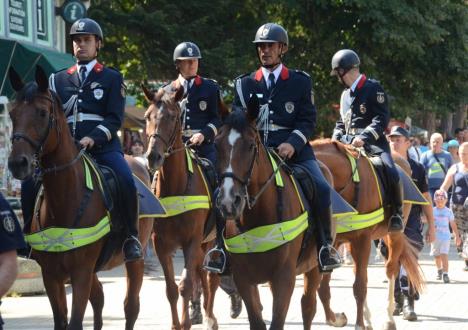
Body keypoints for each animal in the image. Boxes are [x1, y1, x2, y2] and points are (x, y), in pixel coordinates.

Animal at [6, 65, 154, 328]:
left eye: (42, 113)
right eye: (12, 114)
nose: (17, 163)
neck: (64, 199)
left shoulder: (81, 273)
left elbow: (75, 321)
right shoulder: (51, 275)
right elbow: (61, 321)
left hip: (135, 258)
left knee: (131, 307)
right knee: (100, 299)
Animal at [142, 84, 218, 328]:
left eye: (173, 117)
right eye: (147, 116)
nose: (153, 157)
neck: (175, 187)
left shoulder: (191, 242)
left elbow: (185, 285)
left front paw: (185, 322)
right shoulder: (161, 244)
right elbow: (172, 289)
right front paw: (177, 323)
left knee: (211, 277)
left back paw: (210, 316)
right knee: (201, 273)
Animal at [214, 96, 324, 330]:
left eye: (250, 145)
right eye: (216, 145)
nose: (229, 202)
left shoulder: (285, 278)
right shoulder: (243, 279)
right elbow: (257, 320)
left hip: (314, 267)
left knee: (308, 306)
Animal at [310, 139, 424, 330]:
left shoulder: (361, 239)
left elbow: (360, 286)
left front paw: (359, 324)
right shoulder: (334, 243)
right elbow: (323, 287)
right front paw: (337, 318)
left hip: (394, 234)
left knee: (391, 268)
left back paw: (389, 319)